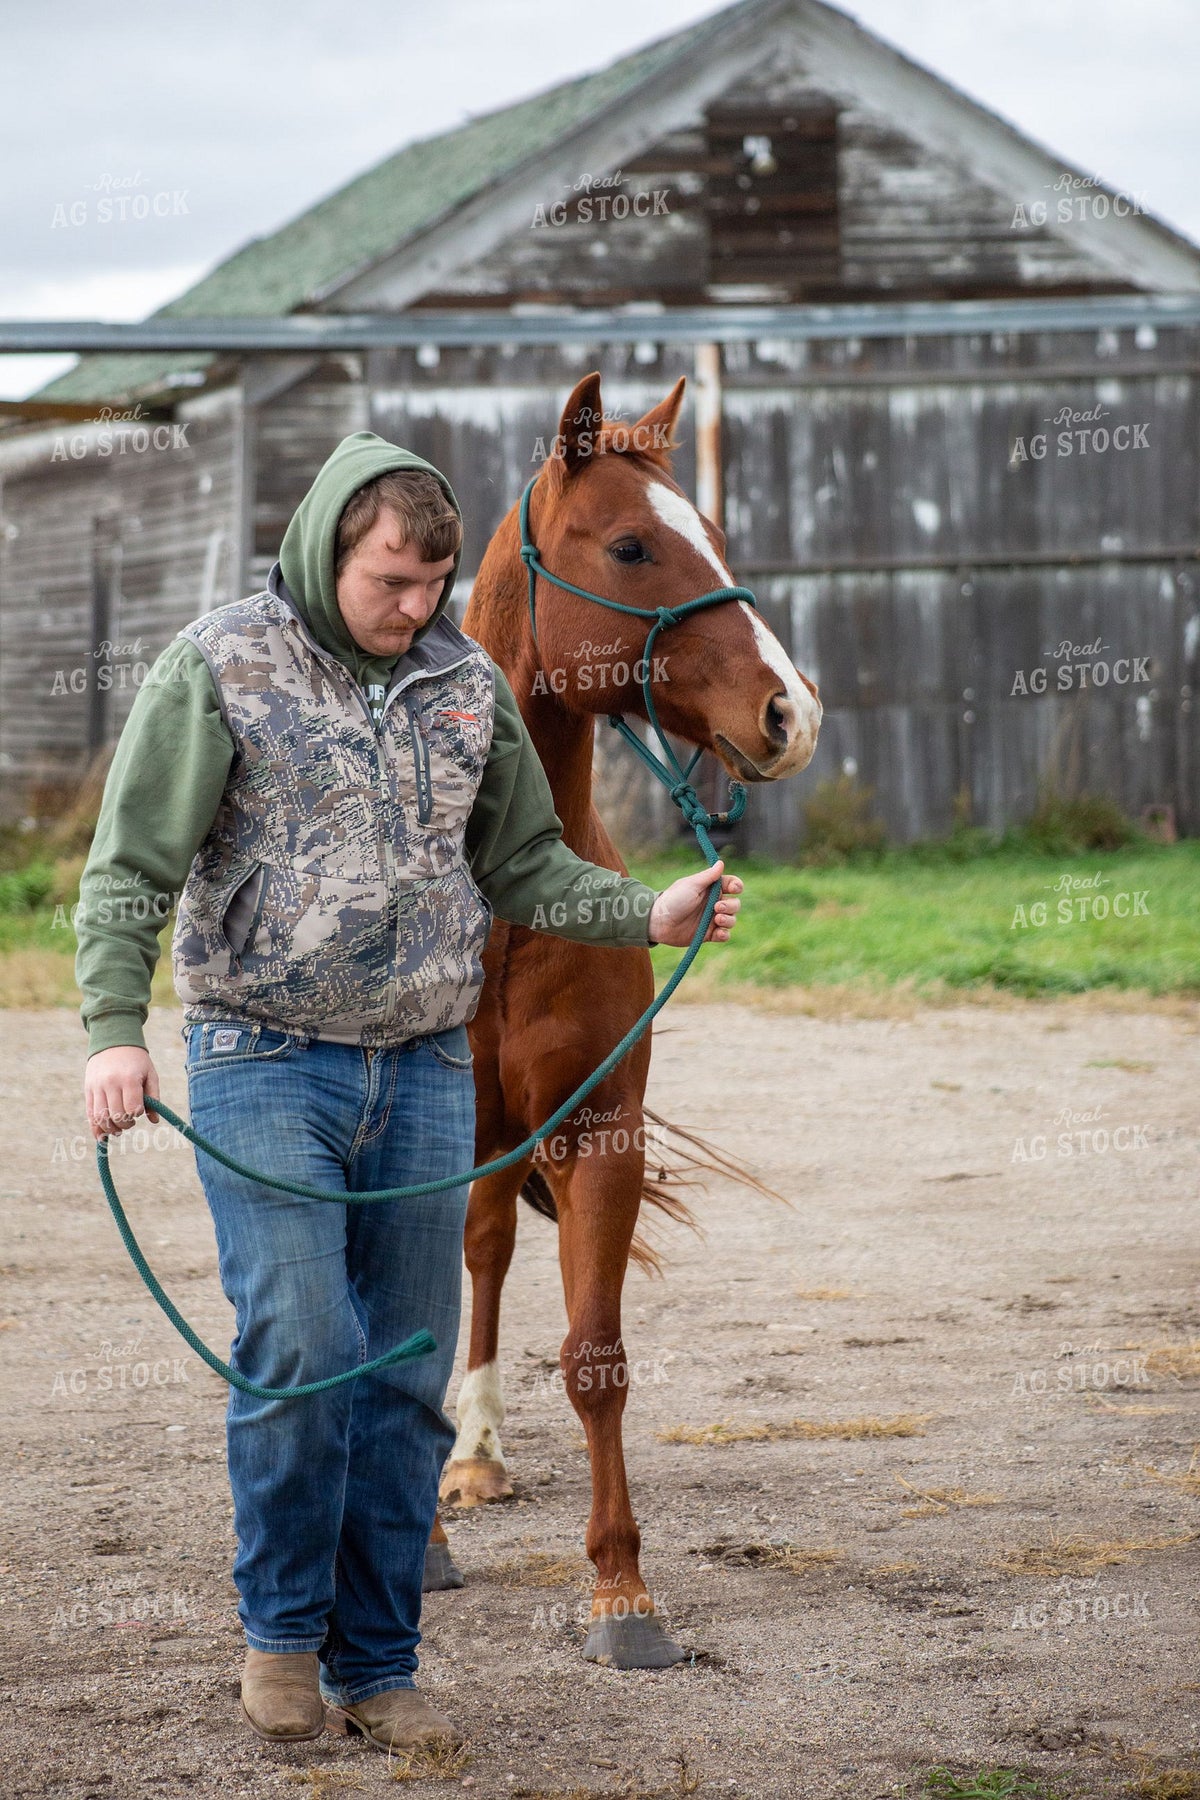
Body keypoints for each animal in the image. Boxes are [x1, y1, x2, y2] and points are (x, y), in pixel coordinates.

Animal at [427, 371, 822, 1669]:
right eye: (633, 545)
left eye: (716, 533)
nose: (789, 712)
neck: (506, 906)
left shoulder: (599, 1136)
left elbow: (595, 1359)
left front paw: (622, 1593)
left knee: (489, 1251)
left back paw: (477, 1454)